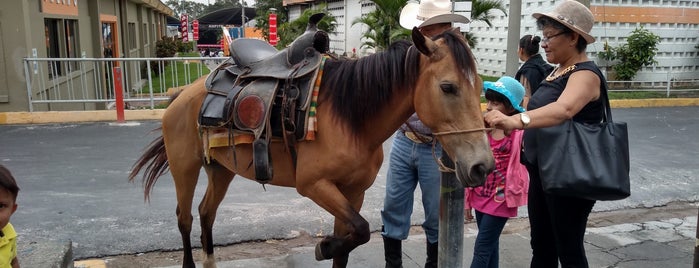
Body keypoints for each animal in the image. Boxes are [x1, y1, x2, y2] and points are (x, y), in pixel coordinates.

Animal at [129, 27, 494, 268]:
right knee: (185, 218)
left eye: (480, 85)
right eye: (448, 87)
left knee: (207, 213)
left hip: (220, 169)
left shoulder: (353, 192)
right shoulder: (314, 185)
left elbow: (353, 239)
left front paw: (331, 245)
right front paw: (324, 247)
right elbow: (361, 230)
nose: (483, 166)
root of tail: (182, 95)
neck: (352, 119)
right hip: (185, 168)